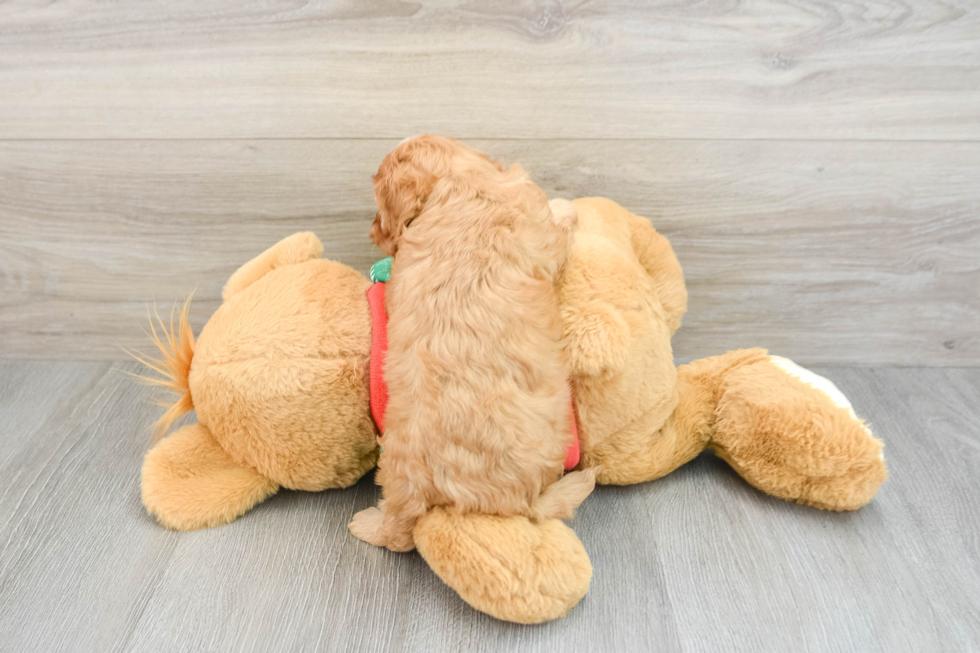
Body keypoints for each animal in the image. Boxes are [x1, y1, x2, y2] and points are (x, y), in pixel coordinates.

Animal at [352, 134, 596, 552]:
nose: (372, 234)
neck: (458, 183)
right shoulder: (541, 228)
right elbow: (559, 221)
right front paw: (567, 205)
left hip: (394, 460)